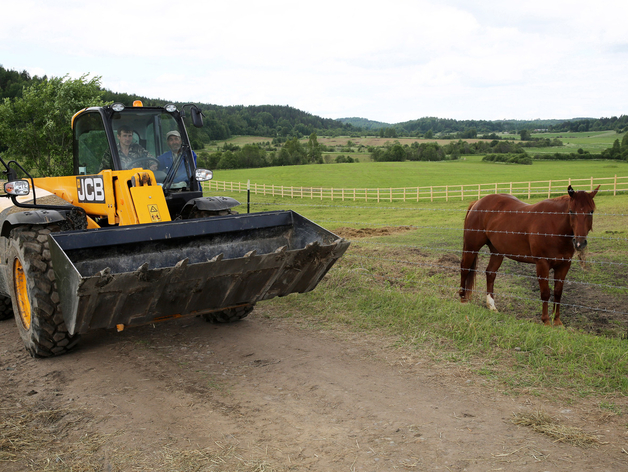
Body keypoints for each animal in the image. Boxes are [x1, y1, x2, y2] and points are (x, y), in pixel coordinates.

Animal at [462, 184, 600, 324]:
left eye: (591, 211)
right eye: (571, 211)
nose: (580, 243)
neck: (554, 226)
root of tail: (477, 203)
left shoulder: (564, 265)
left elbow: (558, 292)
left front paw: (557, 321)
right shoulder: (542, 264)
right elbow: (545, 292)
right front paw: (546, 320)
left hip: (497, 252)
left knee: (490, 273)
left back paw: (491, 306)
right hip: (471, 247)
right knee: (465, 268)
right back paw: (463, 299)